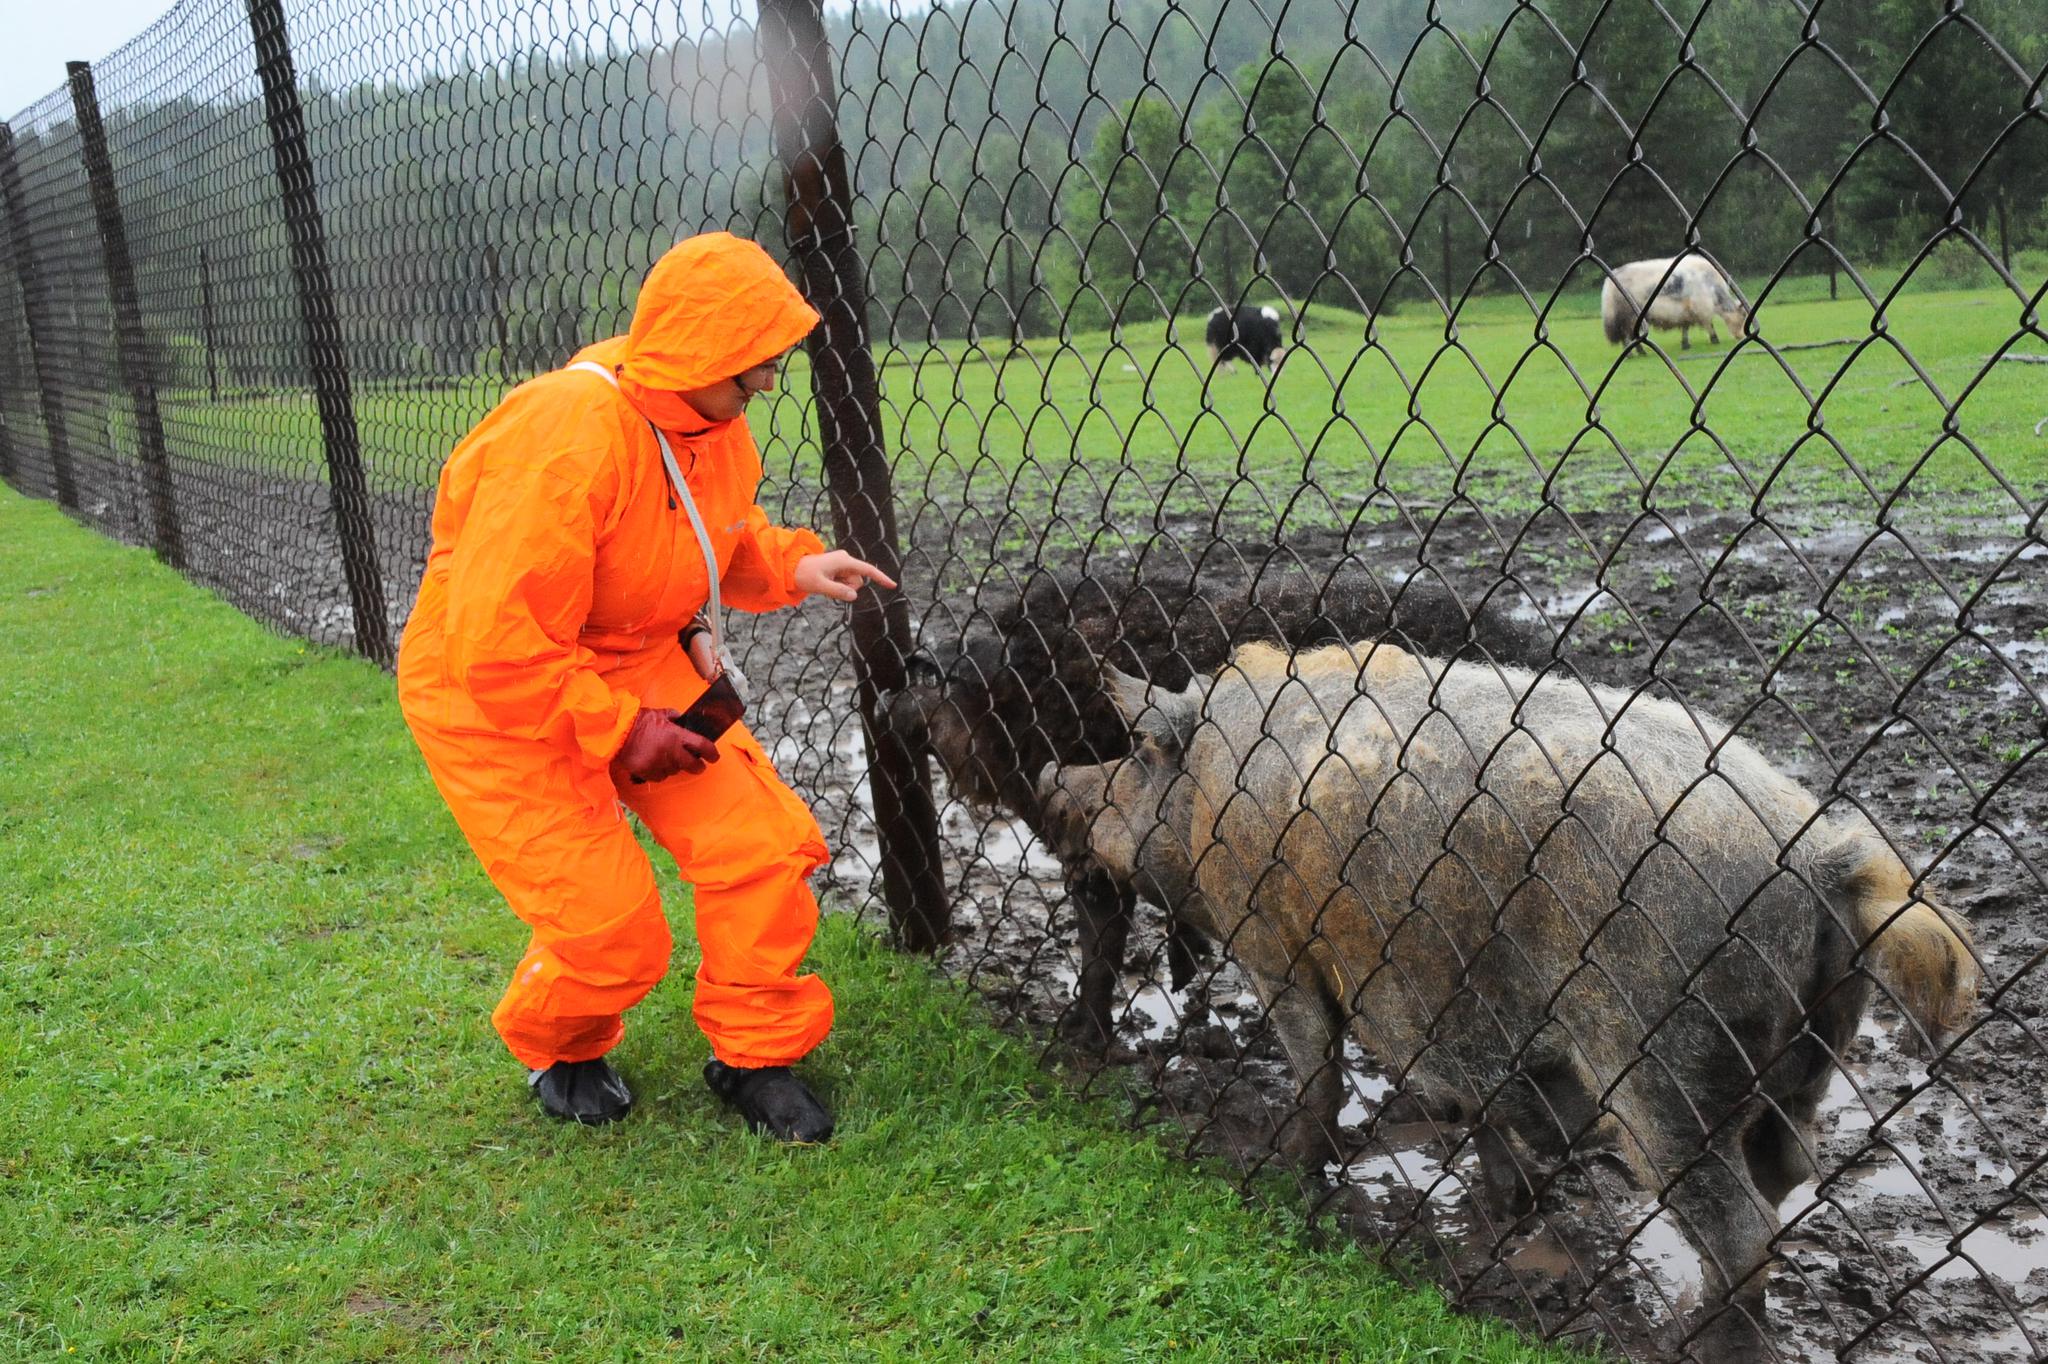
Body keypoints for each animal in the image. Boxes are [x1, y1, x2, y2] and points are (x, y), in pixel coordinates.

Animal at [884, 561, 1548, 1040]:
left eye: (941, 680)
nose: (894, 688)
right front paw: (1183, 979)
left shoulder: (1097, 836)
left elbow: (1100, 939)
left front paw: (1076, 1039)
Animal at [1048, 638, 1974, 1351]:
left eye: (1135, 758)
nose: (1058, 776)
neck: (1211, 787)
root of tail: (1827, 861)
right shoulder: (1452, 1011)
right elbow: (1477, 1103)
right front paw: (1507, 1204)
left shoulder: (1279, 952)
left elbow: (1319, 1079)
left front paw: (1285, 1181)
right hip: (1811, 1058)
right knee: (1785, 1175)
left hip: (1665, 1066)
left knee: (1742, 1231)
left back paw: (1686, 1341)